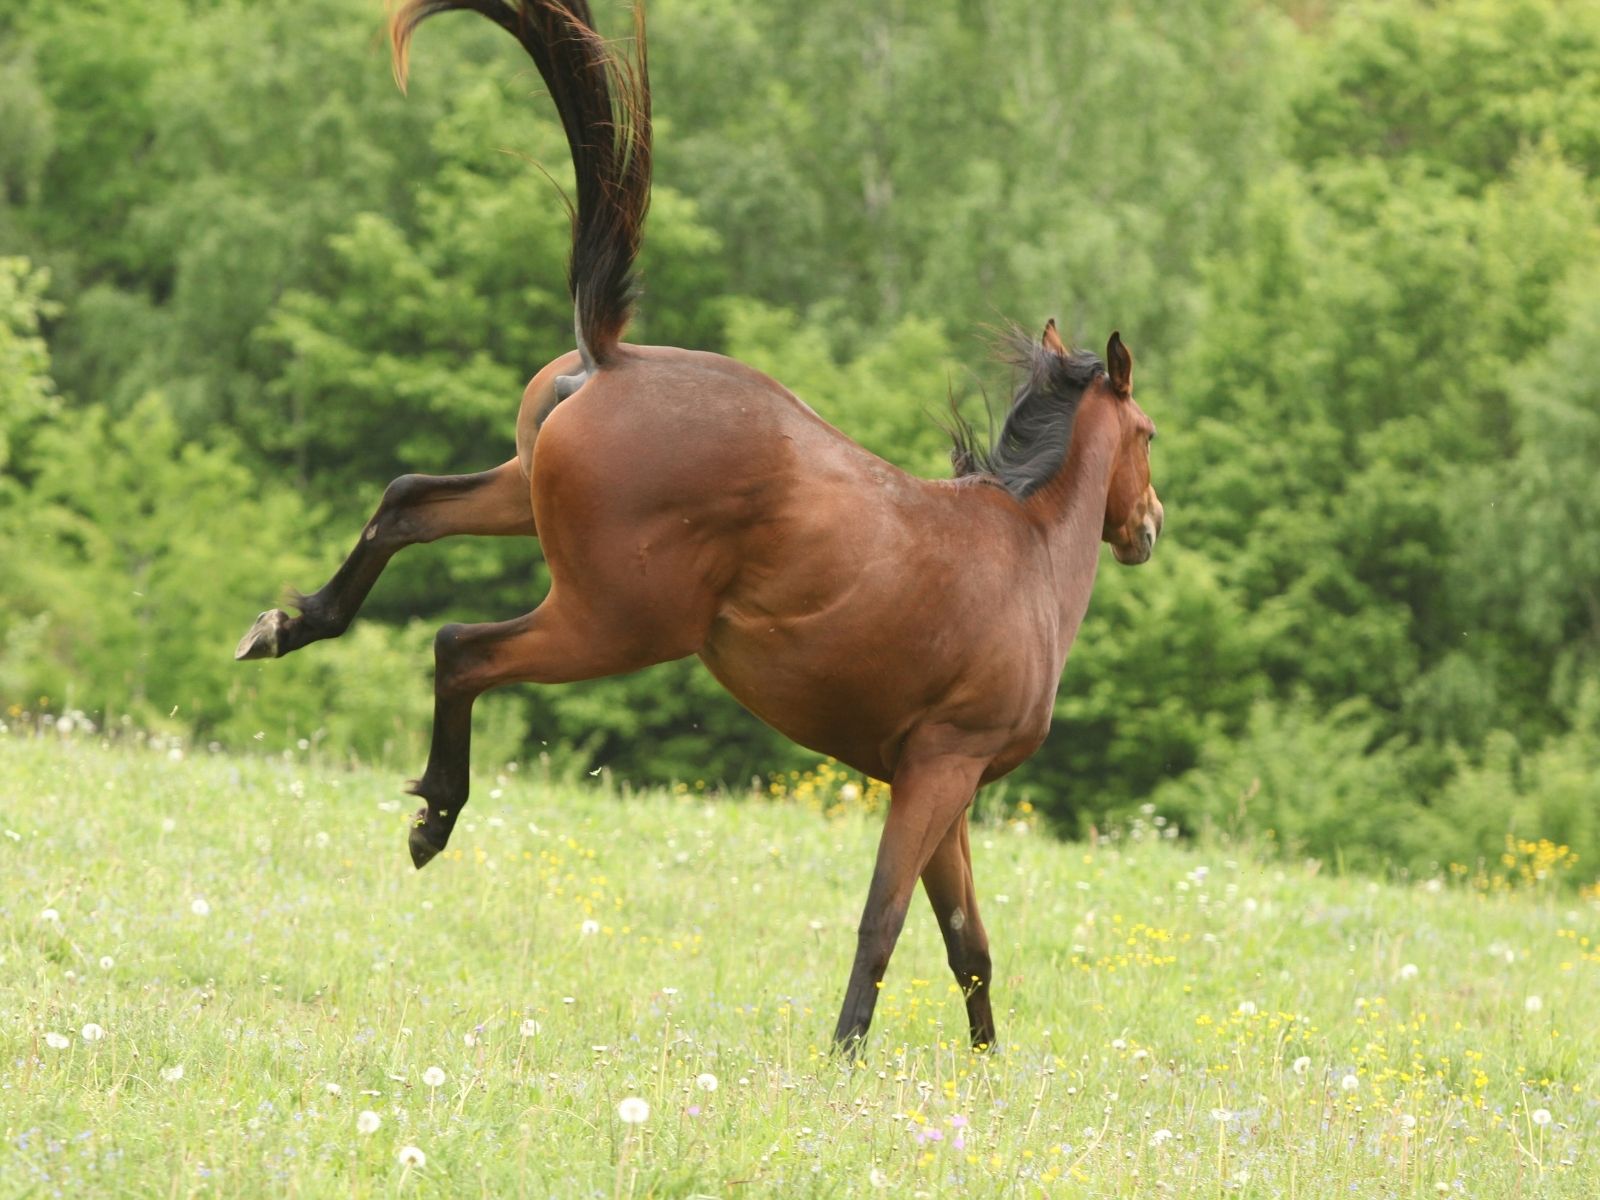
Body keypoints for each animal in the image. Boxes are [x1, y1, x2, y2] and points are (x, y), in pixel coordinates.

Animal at [235, 0, 1162, 1050]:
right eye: (1148, 434)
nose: (1149, 525)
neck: (1025, 553)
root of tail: (611, 357)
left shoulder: (939, 780)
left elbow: (968, 942)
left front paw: (984, 1070)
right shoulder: (939, 770)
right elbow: (884, 923)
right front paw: (845, 1057)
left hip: (520, 499)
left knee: (406, 503)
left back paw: (291, 625)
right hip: (609, 624)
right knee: (460, 646)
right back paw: (434, 817)